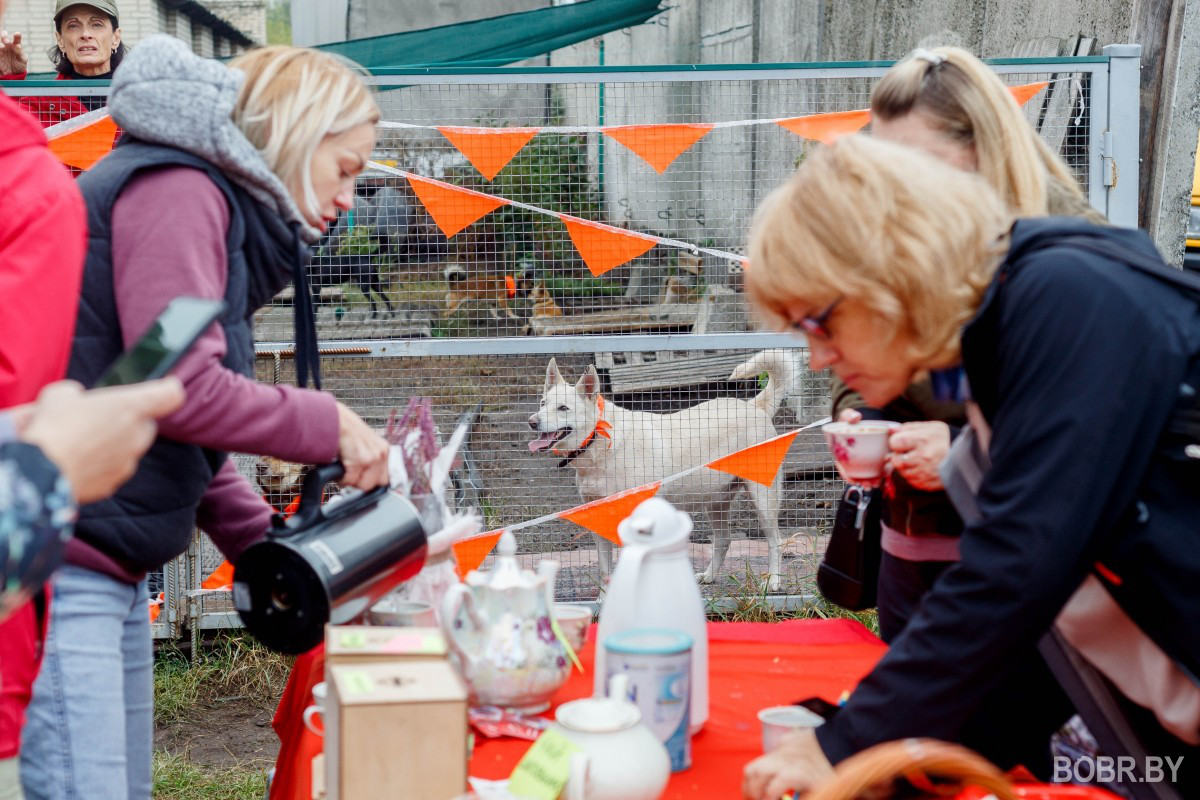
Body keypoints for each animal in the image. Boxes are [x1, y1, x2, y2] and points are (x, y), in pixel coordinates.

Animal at [528, 352, 796, 594]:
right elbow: (605, 570)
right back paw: (709, 576)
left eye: (563, 408)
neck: (599, 443)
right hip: (715, 502)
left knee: (776, 541)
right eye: (542, 404)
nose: (532, 421)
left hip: (763, 499)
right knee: (723, 540)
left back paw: (773, 582)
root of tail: (754, 406)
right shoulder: (599, 520)